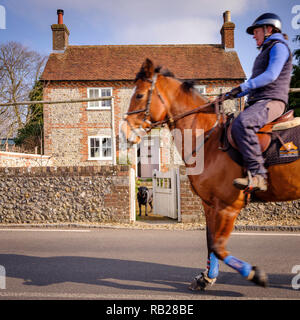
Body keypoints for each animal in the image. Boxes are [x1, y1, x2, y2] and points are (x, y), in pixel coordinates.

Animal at [121, 58, 300, 290]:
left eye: (139, 95)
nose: (124, 131)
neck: (209, 139)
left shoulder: (227, 207)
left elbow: (218, 246)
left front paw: (255, 274)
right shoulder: (210, 204)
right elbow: (210, 242)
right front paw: (207, 277)